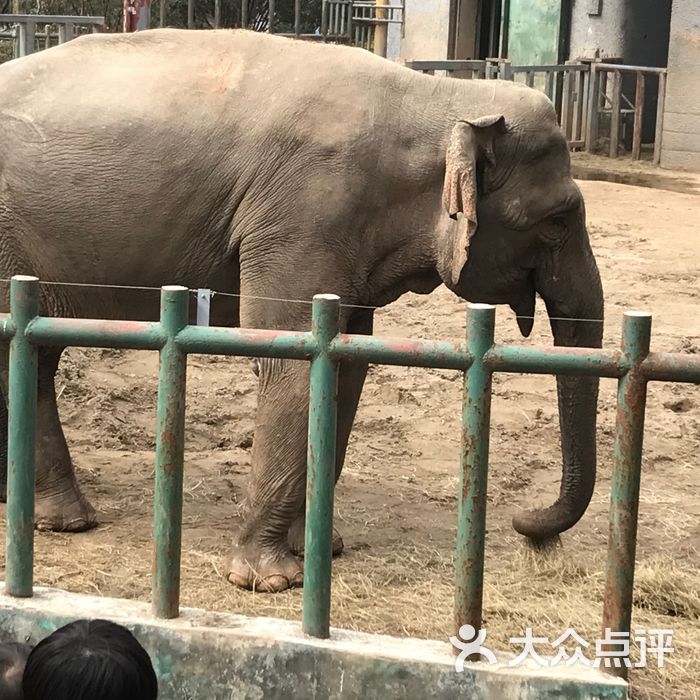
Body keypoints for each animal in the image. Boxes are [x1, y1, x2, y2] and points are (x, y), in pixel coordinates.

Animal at [0, 30, 600, 592]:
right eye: (558, 219)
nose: (529, 529)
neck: (439, 99)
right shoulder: (308, 211)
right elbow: (290, 358)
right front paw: (268, 580)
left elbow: (347, 364)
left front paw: (320, 548)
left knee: (37, 351)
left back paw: (42, 510)